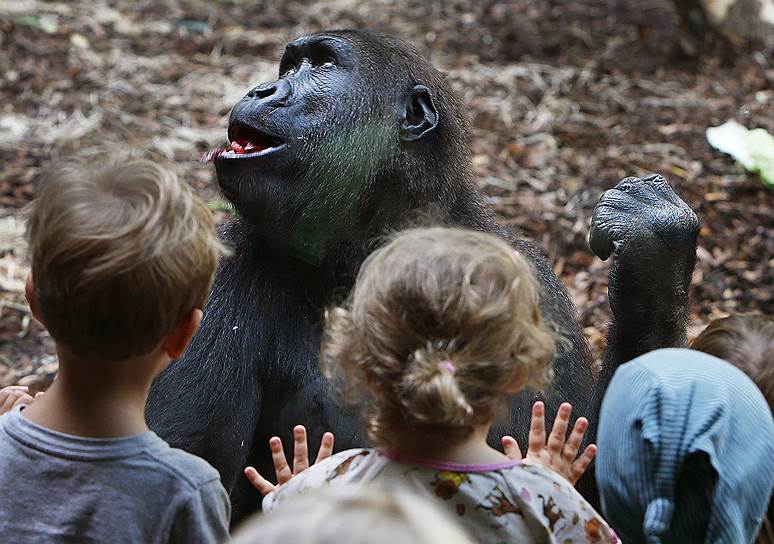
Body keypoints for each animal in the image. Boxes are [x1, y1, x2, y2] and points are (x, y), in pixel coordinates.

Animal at [146, 29, 696, 524]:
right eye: (288, 68)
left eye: (321, 66)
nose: (263, 90)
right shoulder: (218, 274)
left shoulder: (537, 286)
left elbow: (584, 488)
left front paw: (653, 262)